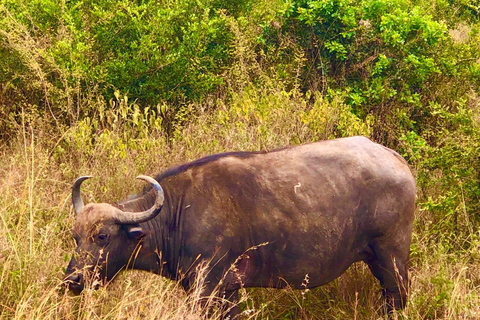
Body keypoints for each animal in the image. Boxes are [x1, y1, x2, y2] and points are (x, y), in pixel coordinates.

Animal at [64, 137, 416, 318]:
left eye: (102, 236)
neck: (179, 213)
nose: (72, 280)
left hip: (391, 258)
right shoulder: (227, 292)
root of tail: (397, 159)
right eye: (75, 236)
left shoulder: (209, 289)